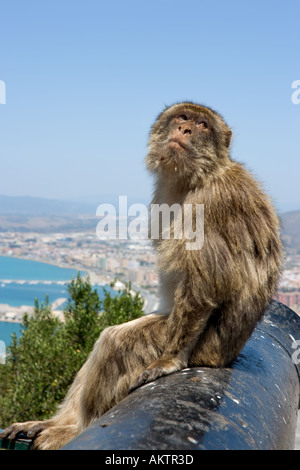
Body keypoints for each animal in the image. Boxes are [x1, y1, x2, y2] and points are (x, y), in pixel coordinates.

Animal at [0, 102, 282, 448]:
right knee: (110, 336)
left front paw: (169, 362)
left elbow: (206, 287)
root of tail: (223, 358)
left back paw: (75, 428)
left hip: (198, 348)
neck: (197, 178)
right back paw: (54, 423)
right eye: (183, 118)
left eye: (202, 125)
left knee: (117, 342)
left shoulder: (214, 202)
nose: (185, 130)